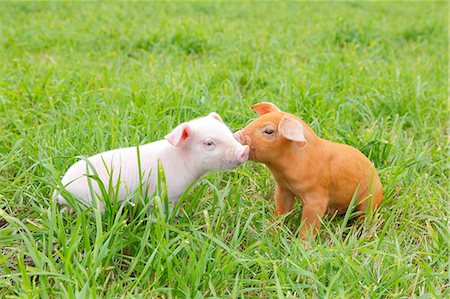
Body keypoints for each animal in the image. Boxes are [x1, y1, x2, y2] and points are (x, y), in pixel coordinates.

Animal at [53, 112, 250, 213]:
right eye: (209, 143)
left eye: (227, 132)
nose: (245, 150)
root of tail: (60, 189)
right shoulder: (164, 192)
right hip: (91, 200)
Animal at [234, 102, 382, 243]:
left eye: (268, 131)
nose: (236, 136)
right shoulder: (283, 189)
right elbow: (281, 211)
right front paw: (272, 233)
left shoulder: (317, 195)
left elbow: (309, 224)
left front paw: (302, 246)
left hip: (370, 199)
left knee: (365, 217)